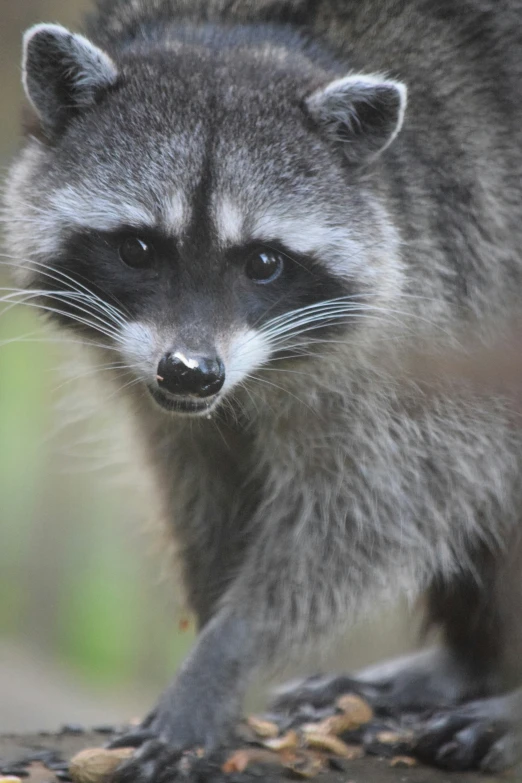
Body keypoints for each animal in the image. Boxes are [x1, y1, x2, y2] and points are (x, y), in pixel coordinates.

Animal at [5, 0, 522, 776]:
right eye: (138, 248)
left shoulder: (453, 298)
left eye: (264, 262)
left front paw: (230, 649)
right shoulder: (164, 393)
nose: (190, 371)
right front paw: (213, 630)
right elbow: (204, 482)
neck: (252, 36)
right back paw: (473, 662)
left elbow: (383, 509)